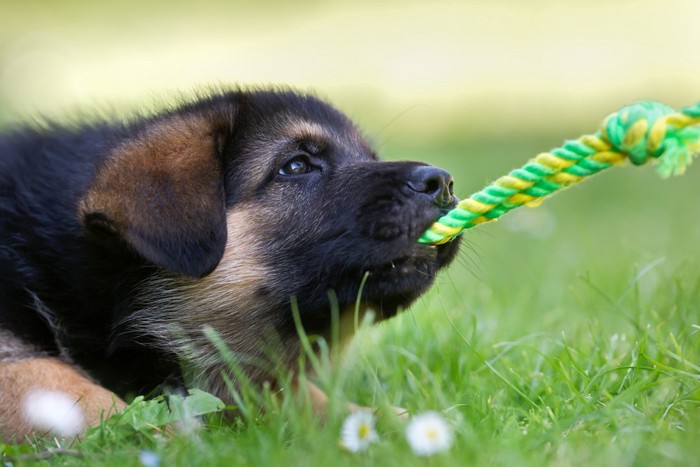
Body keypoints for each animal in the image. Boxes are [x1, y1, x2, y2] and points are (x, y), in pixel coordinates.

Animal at [0, 88, 460, 442]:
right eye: (295, 165)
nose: (443, 183)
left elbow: (293, 394)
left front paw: (384, 421)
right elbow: (58, 386)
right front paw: (165, 438)